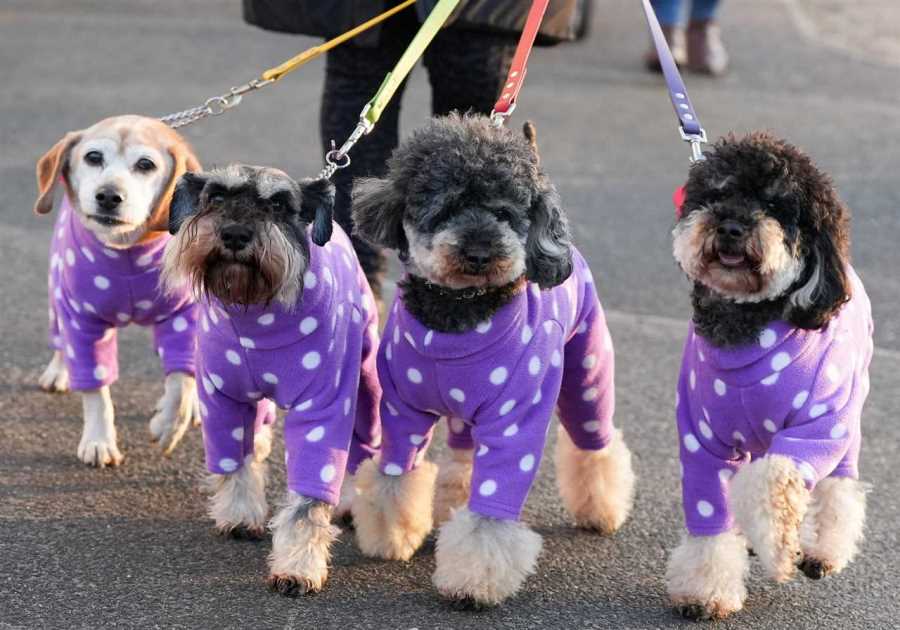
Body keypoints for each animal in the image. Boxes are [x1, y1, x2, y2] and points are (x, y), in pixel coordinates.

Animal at [348, 116, 636, 608]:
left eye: (506, 213)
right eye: (446, 206)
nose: (481, 253)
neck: (457, 313)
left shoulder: (513, 422)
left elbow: (490, 513)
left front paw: (472, 580)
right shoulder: (402, 410)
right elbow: (394, 479)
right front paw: (391, 536)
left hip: (588, 373)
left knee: (595, 444)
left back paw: (601, 511)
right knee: (464, 456)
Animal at [668, 133, 872, 624]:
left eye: (777, 206)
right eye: (716, 193)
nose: (730, 227)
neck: (747, 324)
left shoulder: (817, 430)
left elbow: (774, 480)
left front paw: (780, 550)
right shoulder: (701, 440)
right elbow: (710, 520)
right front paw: (705, 591)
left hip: (847, 422)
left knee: (839, 487)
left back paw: (821, 550)